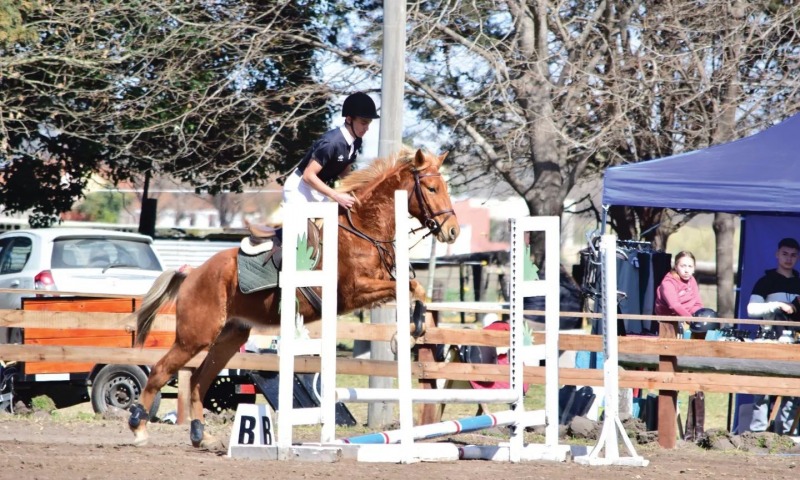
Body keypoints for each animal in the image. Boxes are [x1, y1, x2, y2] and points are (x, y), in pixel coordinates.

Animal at [128, 145, 460, 446]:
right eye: (432, 188)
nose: (453, 232)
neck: (363, 230)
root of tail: (193, 272)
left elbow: (417, 290)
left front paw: (414, 332)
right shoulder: (353, 292)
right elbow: (407, 289)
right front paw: (407, 334)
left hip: (230, 336)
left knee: (199, 380)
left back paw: (201, 435)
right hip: (195, 336)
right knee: (160, 371)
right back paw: (138, 429)